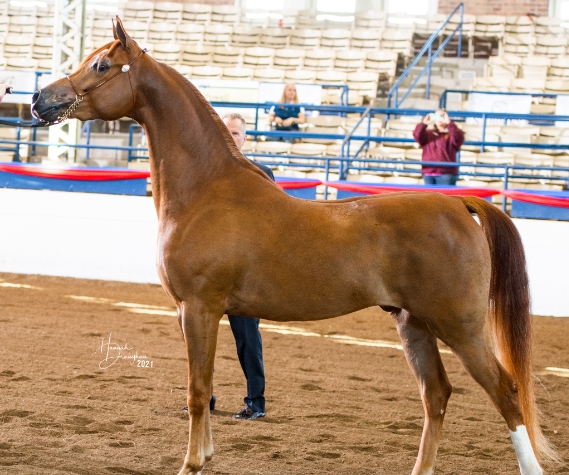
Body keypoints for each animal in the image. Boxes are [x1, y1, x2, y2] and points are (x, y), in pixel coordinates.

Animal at [30, 19, 556, 475]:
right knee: (438, 396)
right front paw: (207, 454)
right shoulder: (198, 311)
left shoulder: (198, 308)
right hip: (414, 324)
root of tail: (460, 203)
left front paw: (192, 464)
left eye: (101, 65)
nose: (39, 99)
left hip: (460, 326)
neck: (206, 190)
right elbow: (206, 387)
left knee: (505, 391)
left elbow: (197, 391)